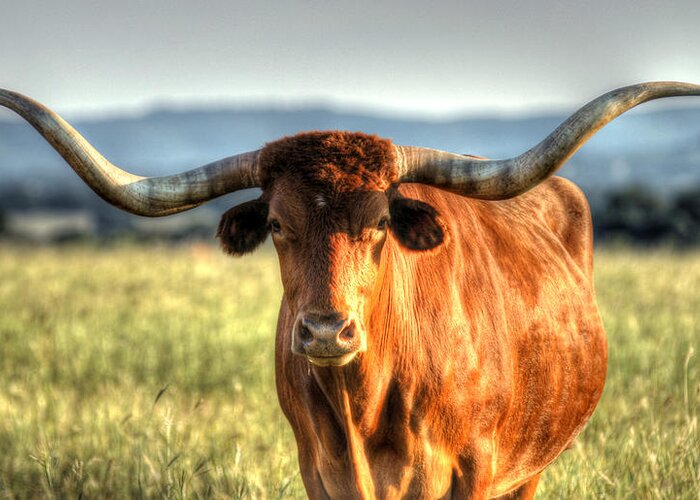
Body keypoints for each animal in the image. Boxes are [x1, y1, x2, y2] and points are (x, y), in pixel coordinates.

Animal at [0, 82, 696, 496]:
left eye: (381, 223)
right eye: (277, 225)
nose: (325, 331)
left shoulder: (476, 468)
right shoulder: (320, 470)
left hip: (532, 468)